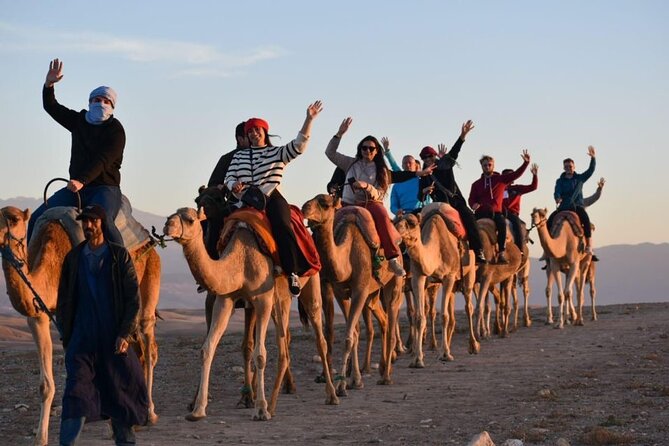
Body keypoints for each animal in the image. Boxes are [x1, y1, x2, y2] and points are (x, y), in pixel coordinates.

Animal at [163, 207, 337, 421]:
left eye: (190, 219)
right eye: (171, 215)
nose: (167, 225)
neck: (241, 259)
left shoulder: (262, 301)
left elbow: (260, 354)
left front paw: (260, 409)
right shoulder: (225, 299)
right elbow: (207, 349)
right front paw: (197, 410)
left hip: (311, 284)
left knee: (319, 338)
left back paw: (331, 395)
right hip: (280, 300)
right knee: (284, 342)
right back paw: (272, 403)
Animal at [302, 194, 403, 395]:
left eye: (325, 204)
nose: (304, 208)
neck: (347, 257)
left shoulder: (360, 290)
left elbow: (350, 337)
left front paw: (342, 386)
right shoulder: (341, 292)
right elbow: (354, 333)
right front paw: (353, 381)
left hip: (394, 284)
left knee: (392, 316)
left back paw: (386, 377)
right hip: (373, 295)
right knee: (383, 319)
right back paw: (382, 369)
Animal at [395, 204, 479, 367]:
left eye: (412, 223)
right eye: (395, 222)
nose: (396, 232)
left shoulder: (448, 277)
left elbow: (444, 316)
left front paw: (445, 355)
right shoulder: (418, 277)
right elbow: (420, 317)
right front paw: (417, 359)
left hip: (469, 272)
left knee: (468, 307)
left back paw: (473, 346)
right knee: (452, 314)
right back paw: (448, 345)